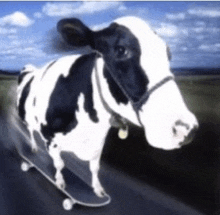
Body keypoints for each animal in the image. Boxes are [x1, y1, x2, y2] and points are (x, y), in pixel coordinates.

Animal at [17, 16, 199, 198]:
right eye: (121, 50)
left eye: (168, 52)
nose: (185, 128)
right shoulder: (50, 138)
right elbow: (59, 163)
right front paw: (60, 182)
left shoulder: (98, 143)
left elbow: (94, 167)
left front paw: (98, 189)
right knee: (31, 131)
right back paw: (33, 149)